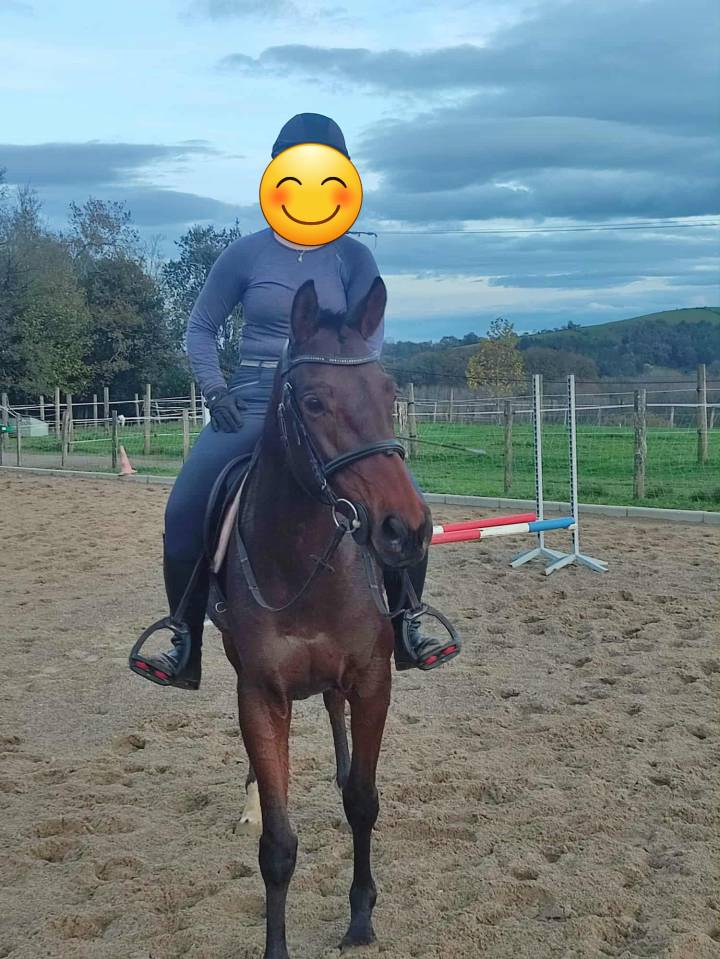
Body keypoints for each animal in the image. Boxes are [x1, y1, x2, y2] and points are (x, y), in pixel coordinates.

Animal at [215, 276, 434, 959]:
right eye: (312, 402)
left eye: (389, 394)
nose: (406, 528)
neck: (302, 559)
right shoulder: (261, 694)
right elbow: (278, 845)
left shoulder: (371, 679)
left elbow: (362, 801)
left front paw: (361, 916)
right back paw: (251, 801)